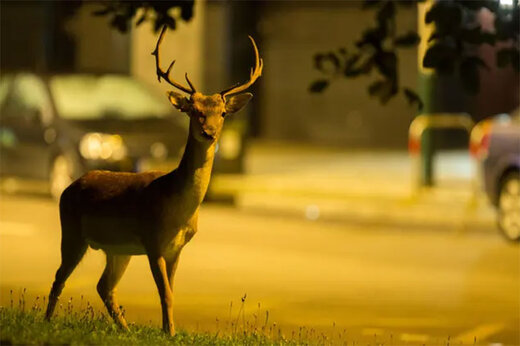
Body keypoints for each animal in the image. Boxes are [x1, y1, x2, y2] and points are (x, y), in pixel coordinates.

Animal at [43, 26, 264, 336]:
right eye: (194, 111)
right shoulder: (153, 241)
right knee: (59, 277)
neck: (176, 206)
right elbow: (165, 293)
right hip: (72, 233)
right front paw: (169, 333)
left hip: (117, 249)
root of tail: (69, 187)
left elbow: (171, 291)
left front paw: (167, 331)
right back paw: (47, 322)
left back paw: (125, 330)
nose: (209, 132)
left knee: (103, 286)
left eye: (221, 112)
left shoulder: (175, 249)